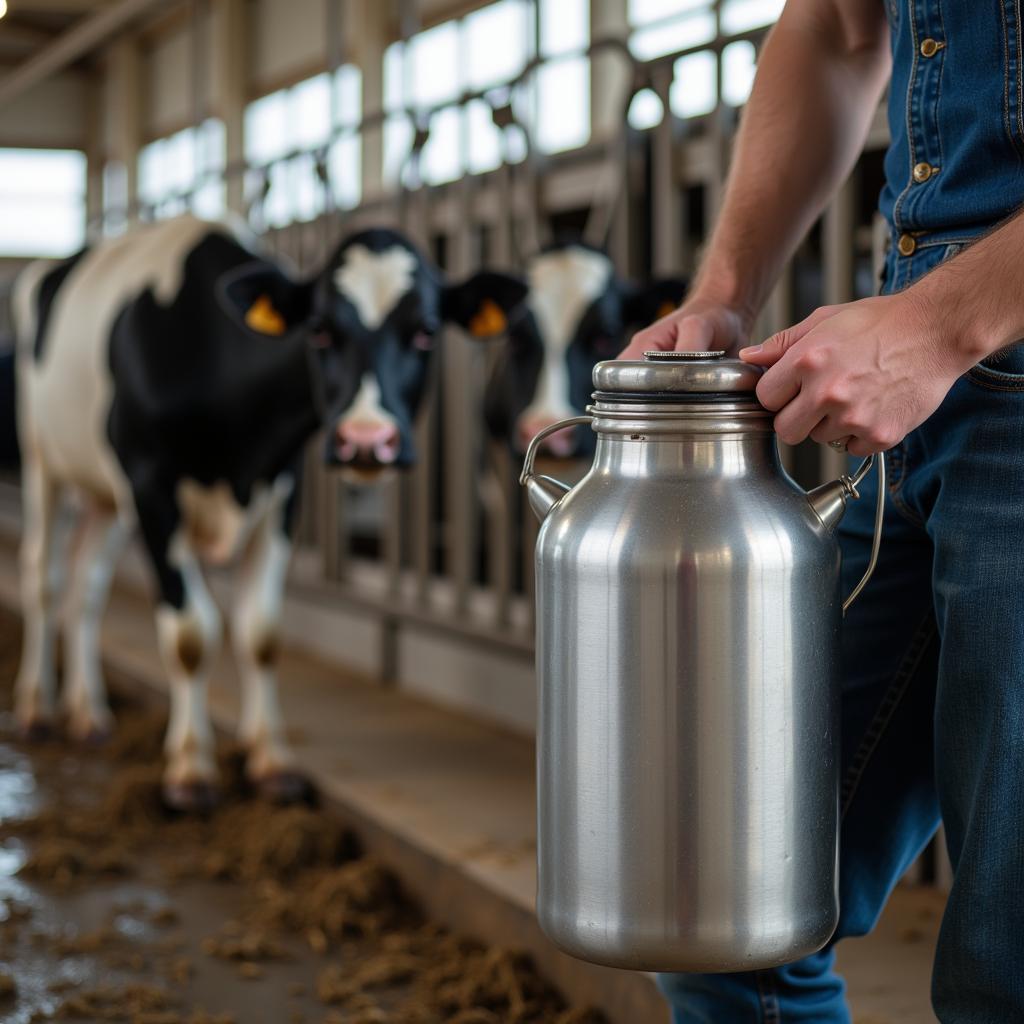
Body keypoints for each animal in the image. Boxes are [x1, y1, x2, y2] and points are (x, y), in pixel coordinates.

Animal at [14, 216, 528, 806]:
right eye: (320, 329)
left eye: (425, 330)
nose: (366, 441)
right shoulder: (150, 488)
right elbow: (190, 633)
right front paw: (190, 768)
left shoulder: (283, 487)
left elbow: (261, 631)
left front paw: (271, 760)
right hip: (42, 460)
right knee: (44, 577)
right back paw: (36, 709)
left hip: (102, 492)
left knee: (87, 584)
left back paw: (88, 714)